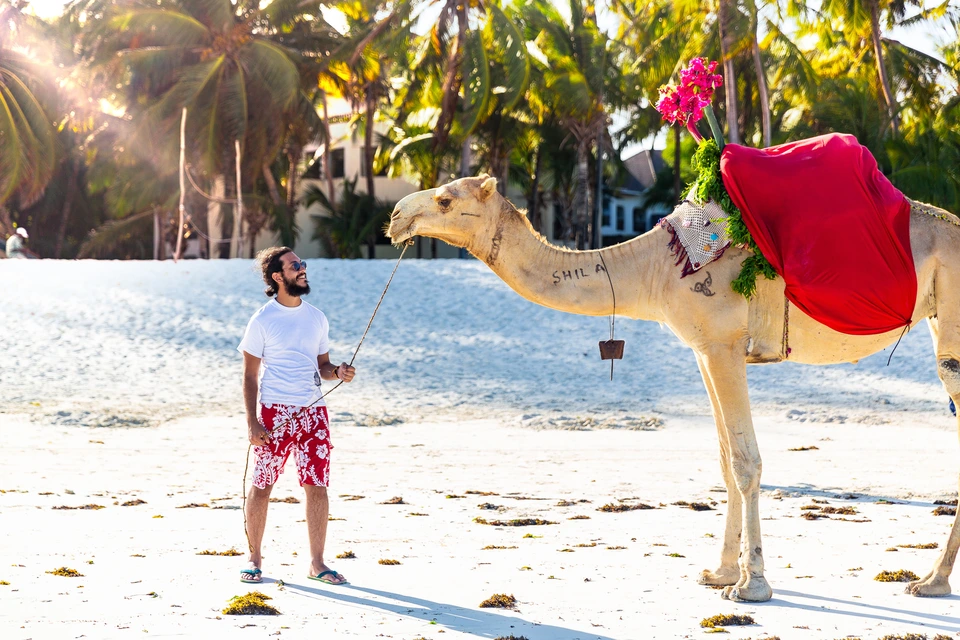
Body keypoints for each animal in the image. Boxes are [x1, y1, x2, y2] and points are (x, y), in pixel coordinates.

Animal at [387, 174, 960, 602]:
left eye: (445, 199)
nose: (394, 216)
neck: (654, 268)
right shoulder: (704, 350)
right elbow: (726, 462)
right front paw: (721, 573)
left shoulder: (724, 344)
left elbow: (747, 463)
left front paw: (752, 587)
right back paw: (932, 580)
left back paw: (929, 580)